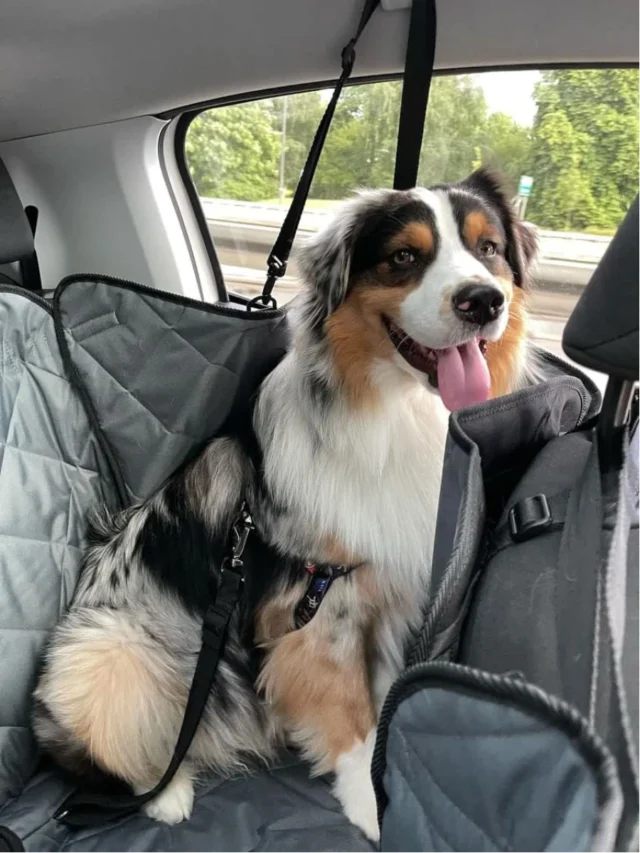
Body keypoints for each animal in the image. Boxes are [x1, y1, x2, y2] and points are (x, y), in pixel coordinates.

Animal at [33, 169, 537, 840]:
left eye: (489, 249)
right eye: (404, 257)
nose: (482, 301)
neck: (392, 408)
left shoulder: (385, 593)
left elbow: (380, 693)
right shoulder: (319, 602)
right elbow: (350, 713)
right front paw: (369, 804)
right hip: (105, 650)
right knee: (116, 748)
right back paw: (167, 794)